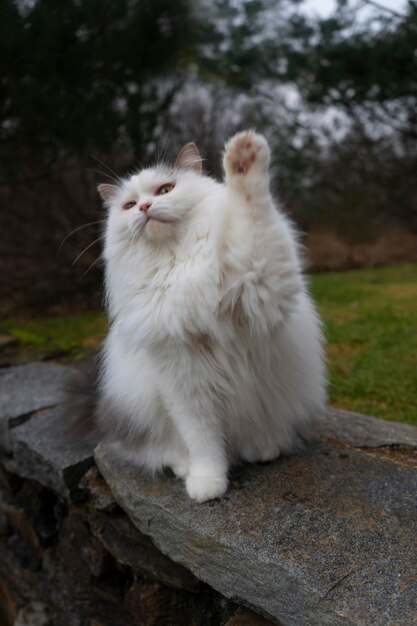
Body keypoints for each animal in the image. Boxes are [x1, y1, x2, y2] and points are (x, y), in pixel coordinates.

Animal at [96, 132, 324, 502]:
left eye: (165, 190)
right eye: (129, 206)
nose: (144, 208)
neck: (180, 267)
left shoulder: (261, 282)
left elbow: (251, 208)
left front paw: (244, 158)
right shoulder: (182, 381)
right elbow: (202, 440)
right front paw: (207, 484)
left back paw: (263, 450)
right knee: (162, 450)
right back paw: (185, 468)